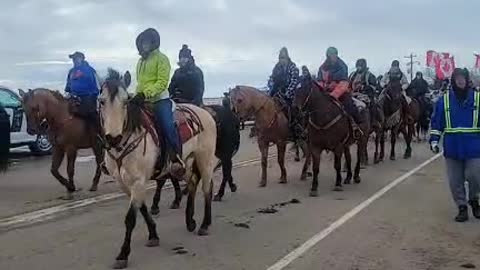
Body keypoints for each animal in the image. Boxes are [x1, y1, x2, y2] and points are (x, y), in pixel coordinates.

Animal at [101, 69, 218, 268]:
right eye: (101, 101)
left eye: (125, 101)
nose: (113, 138)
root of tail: (205, 112)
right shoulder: (125, 184)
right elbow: (142, 209)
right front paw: (153, 235)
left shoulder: (138, 181)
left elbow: (130, 218)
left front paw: (123, 254)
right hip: (187, 161)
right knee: (192, 184)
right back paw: (190, 221)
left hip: (205, 159)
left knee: (206, 188)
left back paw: (204, 225)